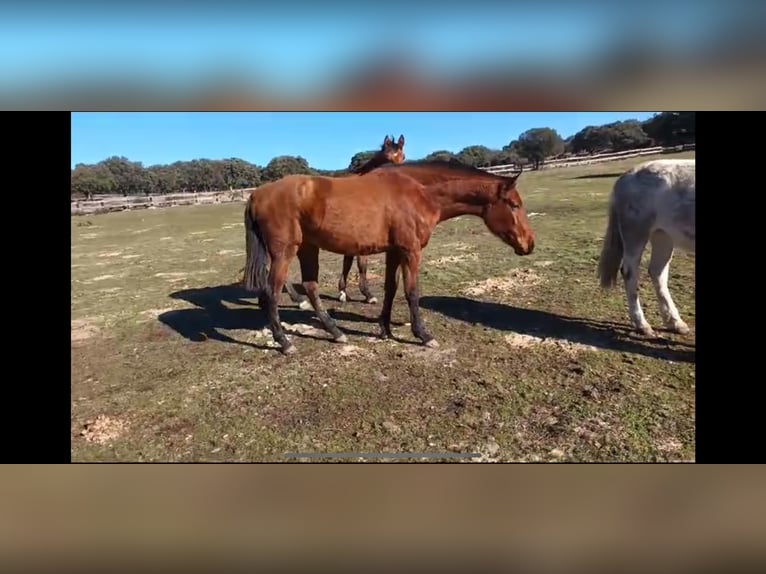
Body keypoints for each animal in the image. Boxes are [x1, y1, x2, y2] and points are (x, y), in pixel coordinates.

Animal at [278, 134, 404, 308]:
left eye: (402, 156)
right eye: (386, 157)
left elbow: (347, 263)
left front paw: (343, 292)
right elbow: (361, 266)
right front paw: (367, 295)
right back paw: (299, 300)